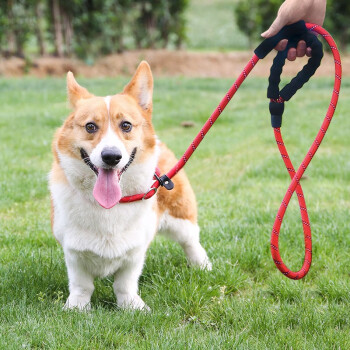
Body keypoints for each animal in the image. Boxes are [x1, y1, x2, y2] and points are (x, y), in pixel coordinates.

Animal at [49, 61, 212, 310]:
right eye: (90, 127)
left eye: (126, 125)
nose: (111, 157)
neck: (109, 206)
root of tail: (160, 143)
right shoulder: (74, 252)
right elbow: (81, 285)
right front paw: (77, 308)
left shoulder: (135, 251)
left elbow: (125, 283)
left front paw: (132, 307)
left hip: (181, 217)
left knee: (191, 241)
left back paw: (202, 266)